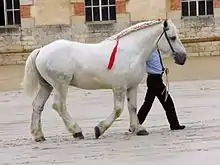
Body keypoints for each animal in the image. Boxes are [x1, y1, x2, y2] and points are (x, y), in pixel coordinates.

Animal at [22, 19, 186, 142]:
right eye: (172, 37)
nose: (183, 57)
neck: (132, 51)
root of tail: (41, 50)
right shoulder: (119, 86)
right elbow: (118, 109)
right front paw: (99, 129)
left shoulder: (131, 86)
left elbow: (132, 107)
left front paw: (139, 129)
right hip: (60, 84)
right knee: (59, 106)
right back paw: (77, 131)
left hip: (47, 86)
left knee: (38, 105)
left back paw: (38, 135)